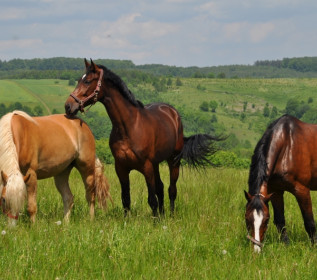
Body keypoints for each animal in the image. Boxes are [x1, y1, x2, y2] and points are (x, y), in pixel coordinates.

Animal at [65, 59, 221, 217]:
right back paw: (163, 215)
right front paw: (129, 220)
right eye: (79, 80)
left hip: (173, 161)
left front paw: (155, 220)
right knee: (161, 188)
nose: (68, 106)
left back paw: (170, 215)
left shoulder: (146, 167)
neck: (129, 127)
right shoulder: (121, 168)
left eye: (87, 81)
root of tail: (174, 114)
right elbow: (126, 198)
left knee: (171, 189)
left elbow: (152, 199)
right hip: (156, 164)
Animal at [244, 115, 317, 253]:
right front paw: (286, 245)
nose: (256, 250)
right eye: (246, 218)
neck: (287, 145)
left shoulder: (302, 190)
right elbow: (280, 221)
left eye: (266, 220)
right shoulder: (275, 191)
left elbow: (309, 222)